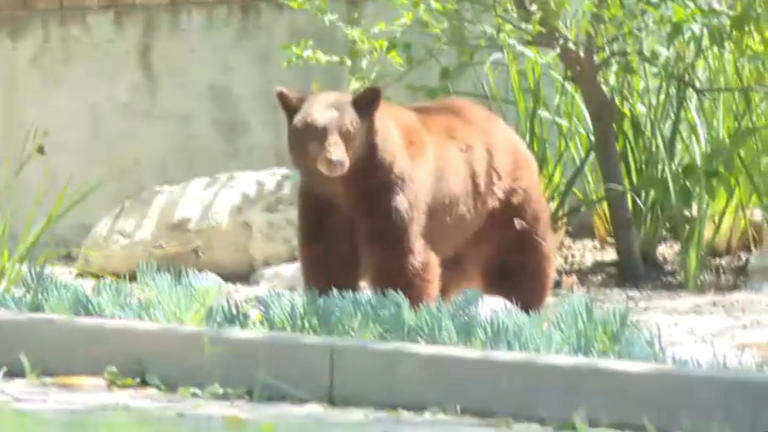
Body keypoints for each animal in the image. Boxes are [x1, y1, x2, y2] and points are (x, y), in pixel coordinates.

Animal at [274, 85, 556, 312]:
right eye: (313, 131)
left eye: (348, 131)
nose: (335, 161)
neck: (350, 184)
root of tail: (508, 129)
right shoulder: (322, 198)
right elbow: (329, 251)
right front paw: (329, 296)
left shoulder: (390, 190)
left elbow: (400, 252)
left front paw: (402, 304)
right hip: (462, 225)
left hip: (502, 203)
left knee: (520, 255)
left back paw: (524, 303)